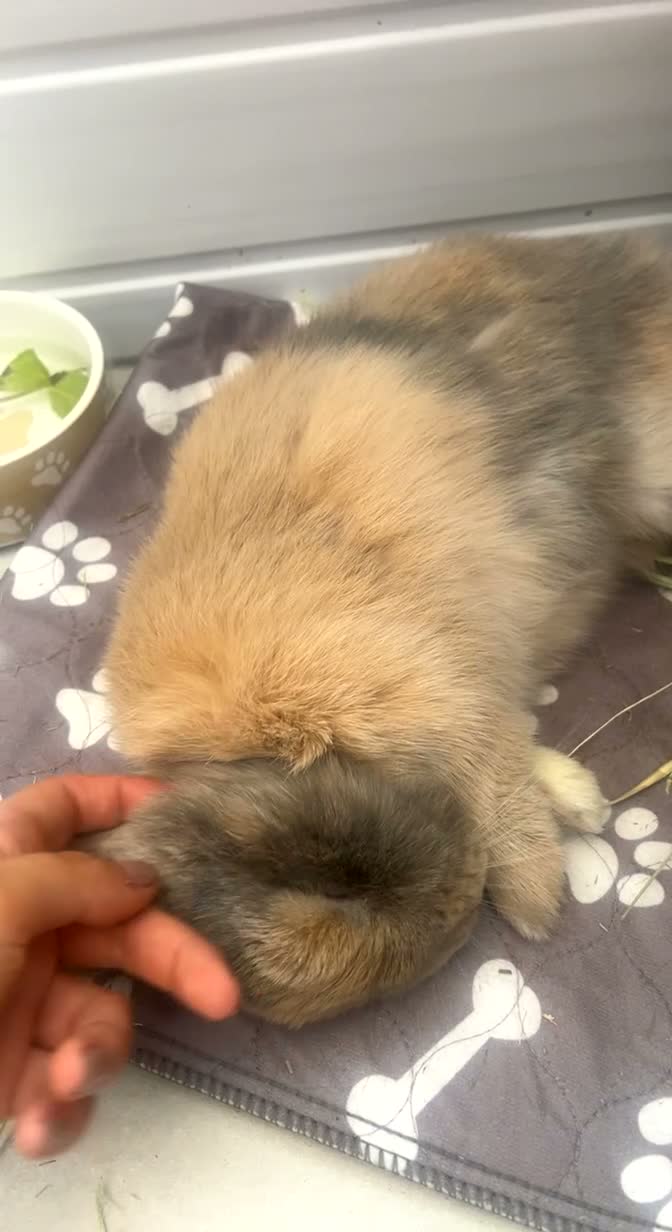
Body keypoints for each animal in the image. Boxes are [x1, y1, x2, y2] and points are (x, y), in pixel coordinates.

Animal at [81, 233, 672, 1026]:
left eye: (331, 884)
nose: (462, 895)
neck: (264, 748)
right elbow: (513, 754)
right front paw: (579, 805)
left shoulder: (427, 681)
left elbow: (498, 783)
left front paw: (536, 898)